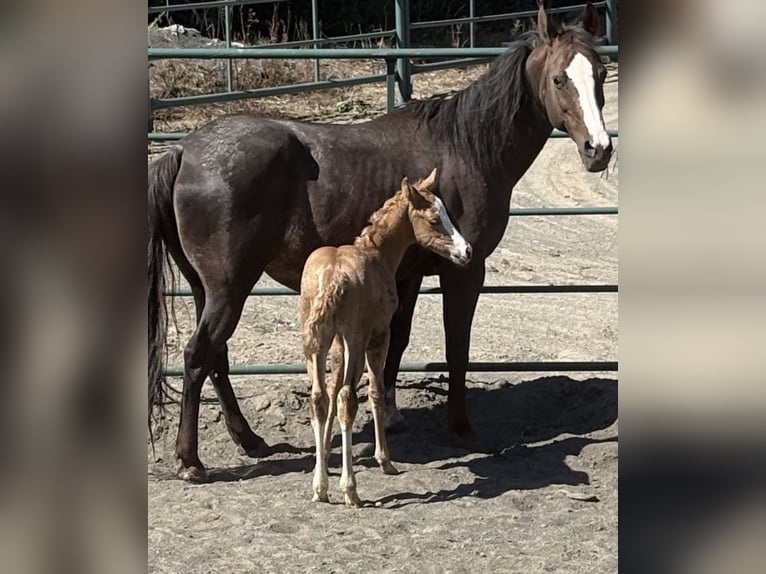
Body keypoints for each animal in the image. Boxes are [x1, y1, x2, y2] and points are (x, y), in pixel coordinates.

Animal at [300, 168, 471, 506]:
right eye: (435, 219)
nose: (467, 251)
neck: (376, 254)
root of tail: (332, 277)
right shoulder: (379, 334)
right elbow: (375, 392)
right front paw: (385, 460)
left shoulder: (337, 344)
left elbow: (332, 390)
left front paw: (323, 461)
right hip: (356, 337)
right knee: (346, 398)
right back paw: (350, 490)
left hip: (317, 339)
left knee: (320, 397)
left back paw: (320, 487)